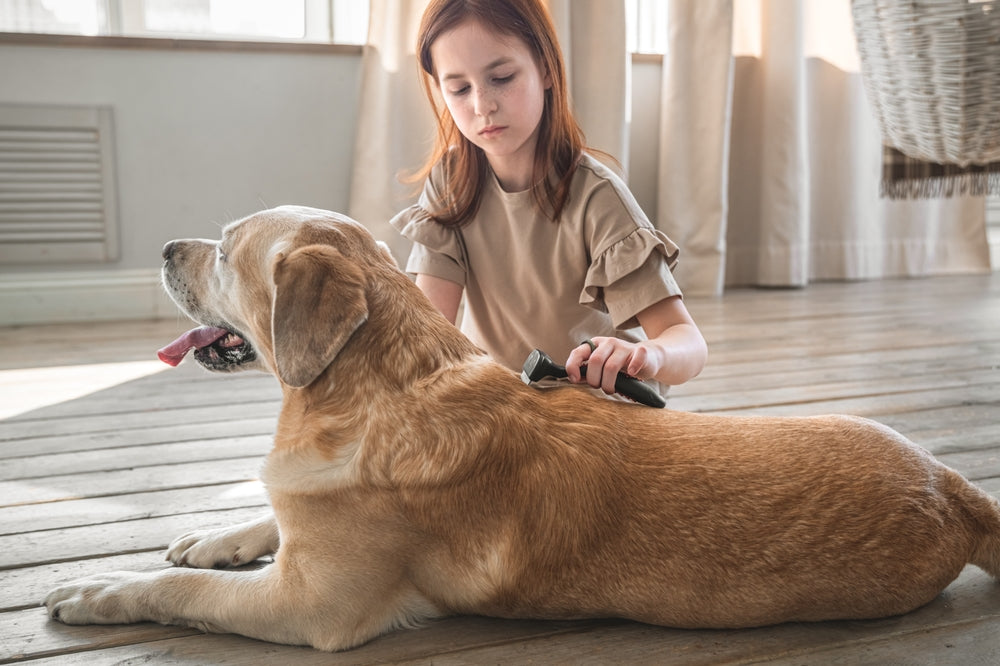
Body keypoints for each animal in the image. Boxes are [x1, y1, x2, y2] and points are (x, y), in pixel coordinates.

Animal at [41, 206, 1000, 648]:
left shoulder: (311, 605)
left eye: (226, 242)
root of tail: (956, 489)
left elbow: (183, 594)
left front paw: (102, 589)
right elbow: (259, 523)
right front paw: (215, 536)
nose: (167, 247)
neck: (386, 384)